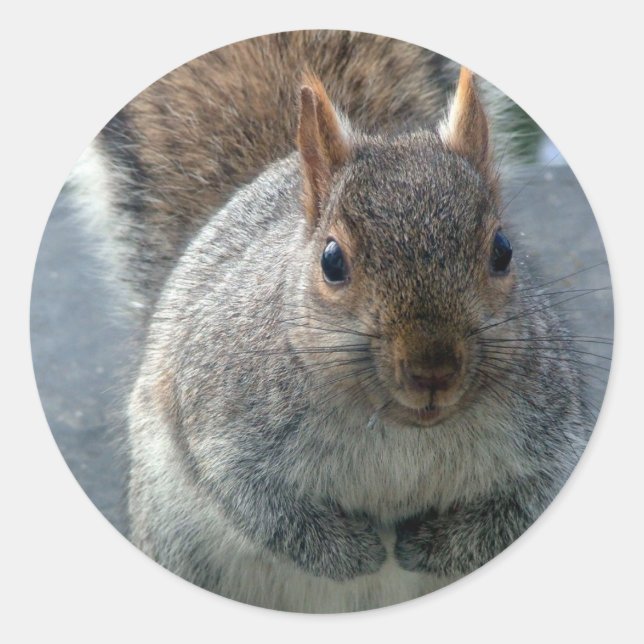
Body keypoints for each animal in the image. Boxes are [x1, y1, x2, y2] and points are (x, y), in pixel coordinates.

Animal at [70, 31, 594, 612]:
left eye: (503, 250)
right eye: (332, 261)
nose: (432, 370)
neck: (401, 427)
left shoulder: (550, 429)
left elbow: (522, 503)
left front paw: (433, 545)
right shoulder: (221, 416)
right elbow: (256, 501)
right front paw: (352, 553)